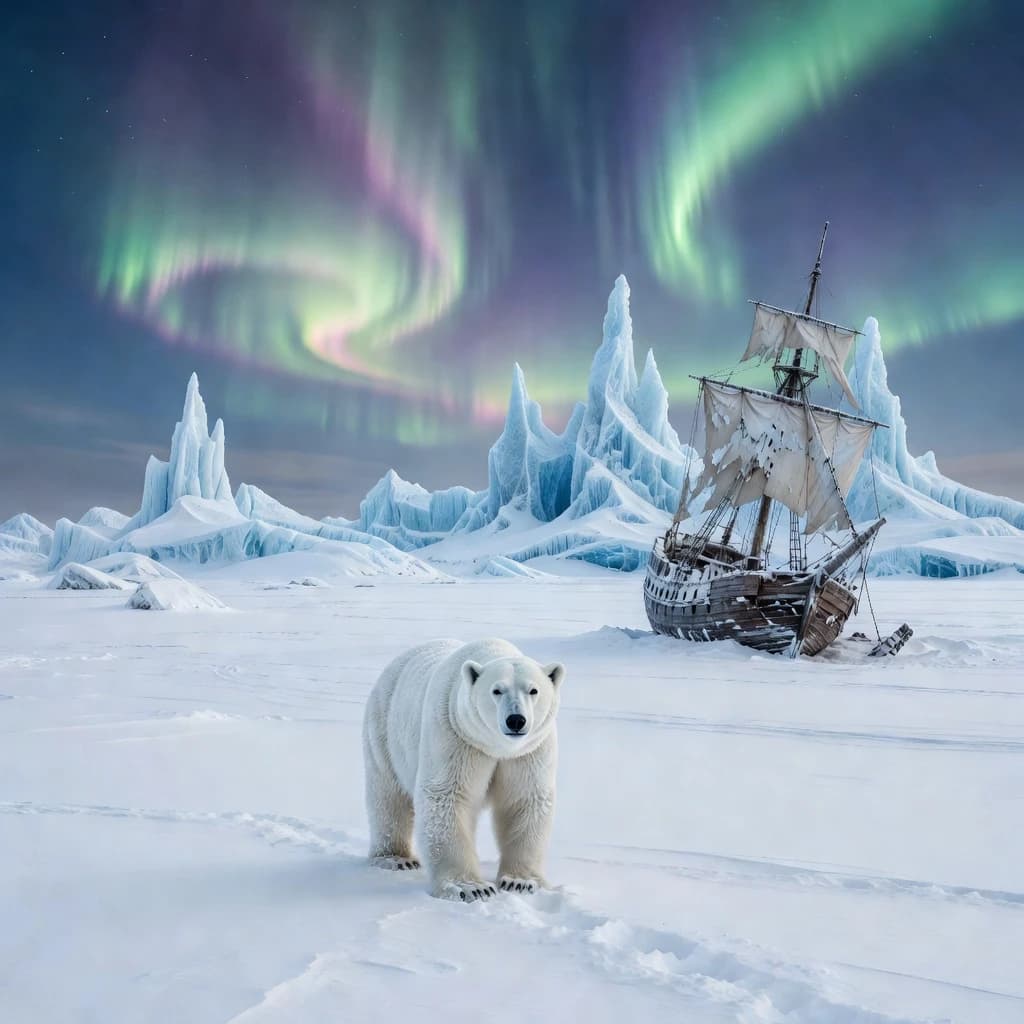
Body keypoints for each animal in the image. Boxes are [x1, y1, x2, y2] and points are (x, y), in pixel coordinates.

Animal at [362, 637, 564, 902]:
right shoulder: (456, 737)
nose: (516, 720)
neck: (496, 747)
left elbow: (524, 800)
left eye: (533, 690)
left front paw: (520, 882)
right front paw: (472, 888)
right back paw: (396, 858)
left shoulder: (528, 752)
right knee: (388, 796)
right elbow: (447, 798)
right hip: (384, 729)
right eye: (496, 690)